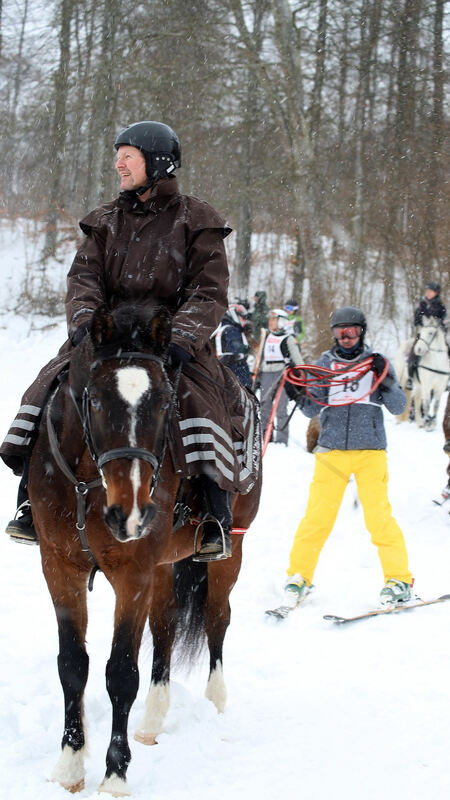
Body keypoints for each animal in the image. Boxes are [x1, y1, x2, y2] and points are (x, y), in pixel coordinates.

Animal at [29, 304, 260, 796]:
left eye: (164, 404)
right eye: (95, 401)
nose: (131, 513)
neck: (88, 484)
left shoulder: (132, 573)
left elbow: (120, 673)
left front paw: (115, 775)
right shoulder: (59, 566)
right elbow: (72, 665)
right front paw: (69, 767)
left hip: (230, 552)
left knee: (217, 621)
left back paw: (215, 704)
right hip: (164, 567)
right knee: (166, 627)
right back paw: (153, 720)